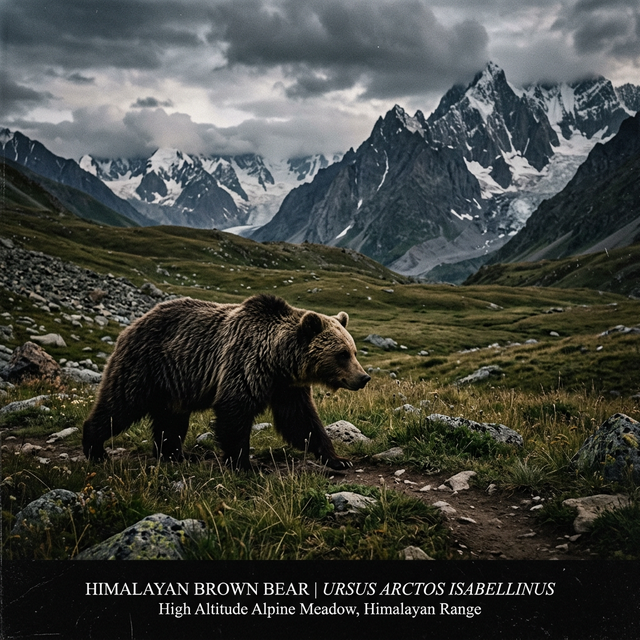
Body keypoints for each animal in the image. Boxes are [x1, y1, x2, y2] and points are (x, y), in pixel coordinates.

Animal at [82, 294, 370, 470]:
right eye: (342, 354)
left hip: (173, 384)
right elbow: (235, 413)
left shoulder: (287, 387)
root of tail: (132, 325)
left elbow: (302, 421)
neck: (278, 361)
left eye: (353, 351)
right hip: (145, 367)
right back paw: (95, 449)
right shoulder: (244, 365)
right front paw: (245, 464)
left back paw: (175, 455)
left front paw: (338, 459)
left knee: (171, 420)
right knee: (120, 406)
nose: (363, 377)